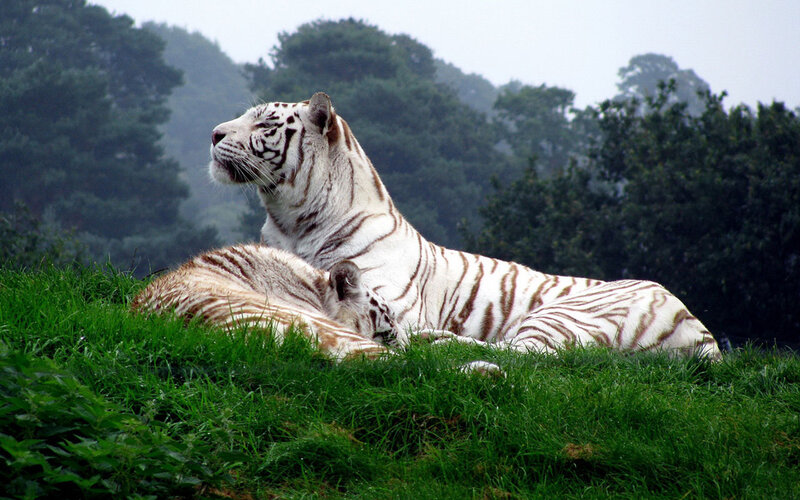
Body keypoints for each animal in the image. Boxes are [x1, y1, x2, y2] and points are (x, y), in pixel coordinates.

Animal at [208, 92, 722, 361]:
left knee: (529, 353)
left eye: (266, 123)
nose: (213, 133)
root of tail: (701, 331)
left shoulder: (389, 299)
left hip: (567, 312)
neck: (290, 220)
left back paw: (440, 341)